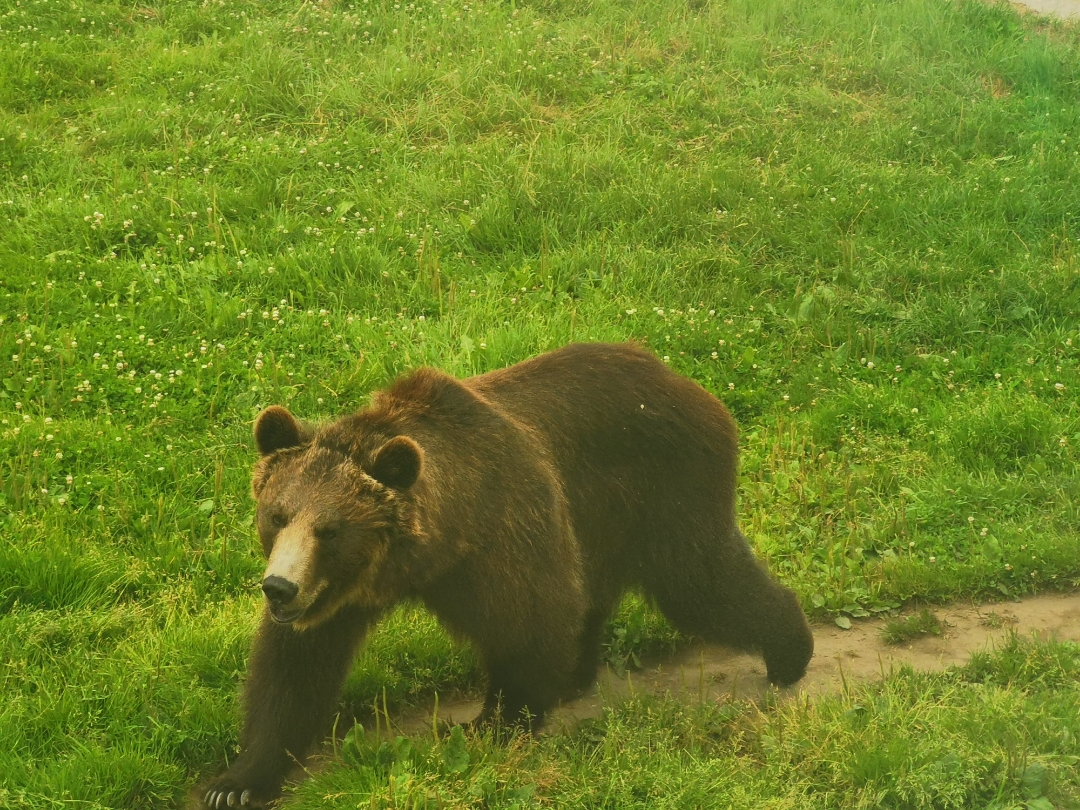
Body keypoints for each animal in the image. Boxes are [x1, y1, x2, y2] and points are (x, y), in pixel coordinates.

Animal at [198, 339, 812, 807]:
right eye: (277, 515)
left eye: (330, 529)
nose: (279, 588)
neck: (439, 542)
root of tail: (687, 380)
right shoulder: (339, 596)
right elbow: (292, 672)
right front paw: (235, 781)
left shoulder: (506, 536)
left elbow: (533, 621)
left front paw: (493, 723)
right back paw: (577, 675)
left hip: (664, 489)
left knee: (701, 581)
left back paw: (790, 650)